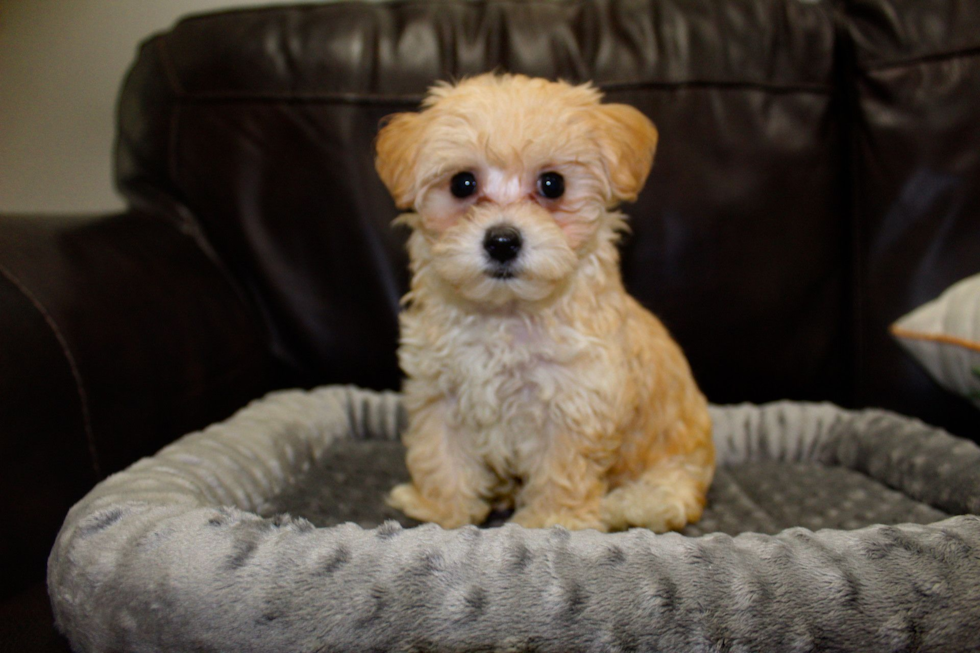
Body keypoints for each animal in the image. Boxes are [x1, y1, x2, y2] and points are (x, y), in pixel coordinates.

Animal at [376, 72, 712, 528]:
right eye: (462, 183)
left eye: (553, 184)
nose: (502, 241)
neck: (505, 314)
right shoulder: (438, 391)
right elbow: (440, 454)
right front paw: (441, 510)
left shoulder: (576, 400)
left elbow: (562, 468)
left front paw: (550, 521)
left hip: (675, 474)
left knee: (665, 498)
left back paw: (622, 504)